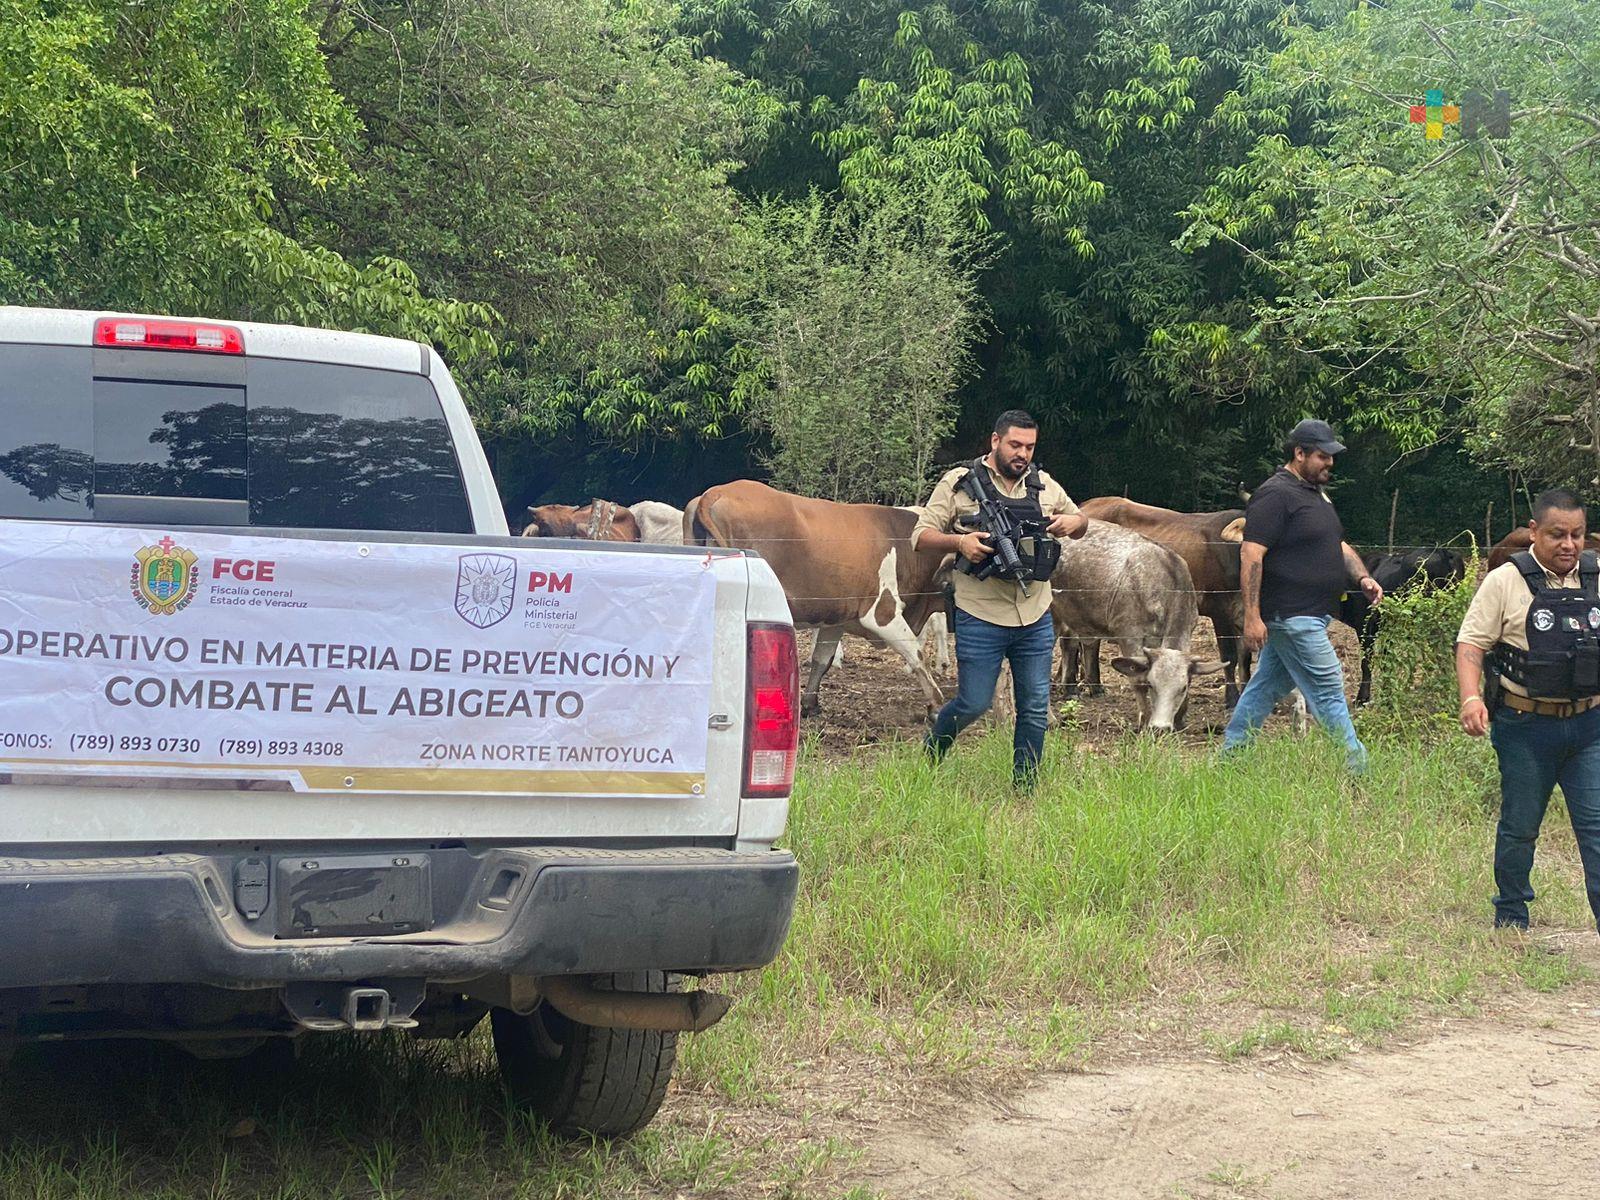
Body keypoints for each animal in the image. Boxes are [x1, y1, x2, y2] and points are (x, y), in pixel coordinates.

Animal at [684, 483, 947, 720]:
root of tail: (717, 491)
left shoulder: (838, 618)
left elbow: (822, 659)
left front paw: (810, 704)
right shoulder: (882, 612)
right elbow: (917, 655)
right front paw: (937, 705)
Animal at [1049, 518, 1222, 732]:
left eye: (1182, 688)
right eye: (1151, 685)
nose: (1161, 727)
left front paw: (1180, 720)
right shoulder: (1128, 633)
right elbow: (1136, 679)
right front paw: (1144, 720)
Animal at [1337, 553, 1465, 710]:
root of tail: (1445, 553)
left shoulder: (1365, 625)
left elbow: (1366, 663)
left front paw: (1362, 699)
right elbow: (1386, 661)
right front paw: (1387, 695)